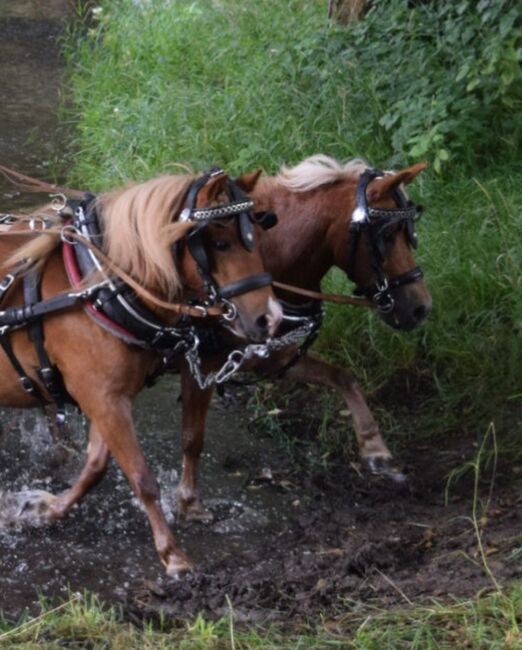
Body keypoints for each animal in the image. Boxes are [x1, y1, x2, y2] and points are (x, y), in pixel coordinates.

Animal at [0, 168, 280, 572]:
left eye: (256, 239)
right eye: (221, 242)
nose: (270, 318)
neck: (99, 287)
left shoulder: (108, 398)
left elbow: (96, 467)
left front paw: (45, 509)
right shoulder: (103, 399)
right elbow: (141, 477)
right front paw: (173, 554)